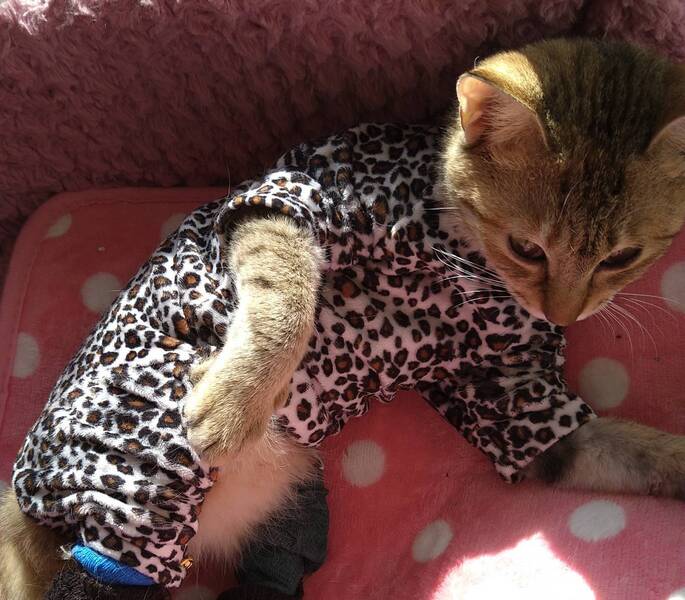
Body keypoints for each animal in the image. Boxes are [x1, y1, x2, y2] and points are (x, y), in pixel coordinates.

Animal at [2, 37, 685, 600]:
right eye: (527, 248)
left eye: (621, 257)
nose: (562, 310)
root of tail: (20, 505)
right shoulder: (285, 196)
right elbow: (286, 299)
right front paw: (232, 404)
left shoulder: (513, 398)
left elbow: (629, 450)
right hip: (137, 490)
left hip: (293, 497)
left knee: (277, 560)